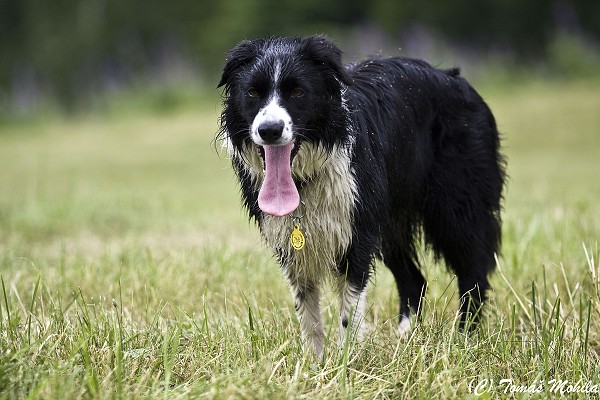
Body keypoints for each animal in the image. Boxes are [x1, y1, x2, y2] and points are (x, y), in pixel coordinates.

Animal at [218, 36, 504, 358]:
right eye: (253, 92)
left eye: (298, 92)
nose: (269, 130)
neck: (304, 177)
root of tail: (458, 79)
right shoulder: (291, 241)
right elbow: (307, 311)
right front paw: (314, 363)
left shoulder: (357, 234)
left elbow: (349, 307)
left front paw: (346, 360)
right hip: (390, 222)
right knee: (414, 280)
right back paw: (404, 339)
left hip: (455, 207)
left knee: (473, 274)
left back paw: (464, 339)